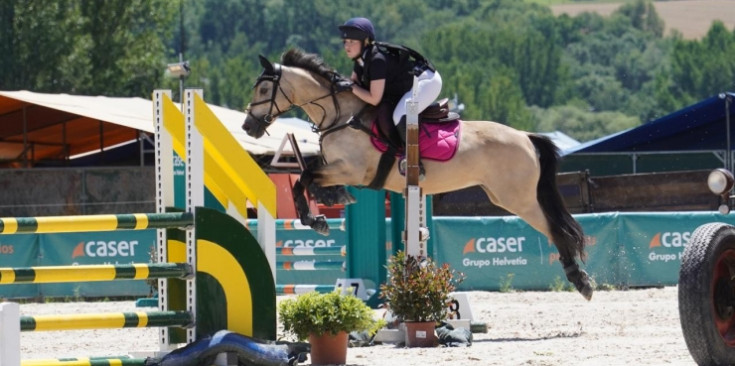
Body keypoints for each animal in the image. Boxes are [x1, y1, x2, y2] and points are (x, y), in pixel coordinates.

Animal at [242, 48, 592, 300]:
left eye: (264, 87)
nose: (248, 126)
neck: (341, 116)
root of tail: (526, 136)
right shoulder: (339, 169)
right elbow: (305, 179)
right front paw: (322, 211)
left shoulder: (352, 170)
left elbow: (306, 178)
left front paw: (319, 217)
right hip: (504, 194)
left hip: (517, 198)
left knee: (555, 228)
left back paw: (581, 281)